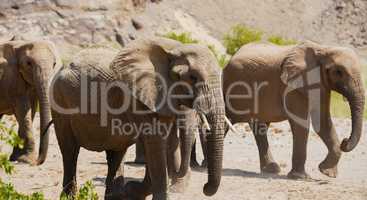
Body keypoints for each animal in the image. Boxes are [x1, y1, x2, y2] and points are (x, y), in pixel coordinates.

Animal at [0, 36, 61, 165]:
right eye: (28, 63)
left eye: (54, 64)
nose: (37, 162)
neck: (21, 44)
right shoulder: (11, 78)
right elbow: (23, 109)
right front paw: (26, 160)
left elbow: (31, 109)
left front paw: (18, 158)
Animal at [49, 36, 227, 199]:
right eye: (192, 77)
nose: (205, 187)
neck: (173, 47)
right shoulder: (138, 99)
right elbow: (155, 144)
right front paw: (134, 190)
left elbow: (161, 143)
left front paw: (130, 191)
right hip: (59, 102)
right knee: (70, 152)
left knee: (116, 153)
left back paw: (114, 194)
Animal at [223, 41, 366, 179]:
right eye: (338, 72)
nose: (345, 141)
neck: (323, 49)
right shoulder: (293, 86)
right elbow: (302, 124)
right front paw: (300, 177)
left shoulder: (321, 85)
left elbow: (323, 121)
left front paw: (327, 173)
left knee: (260, 128)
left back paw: (271, 170)